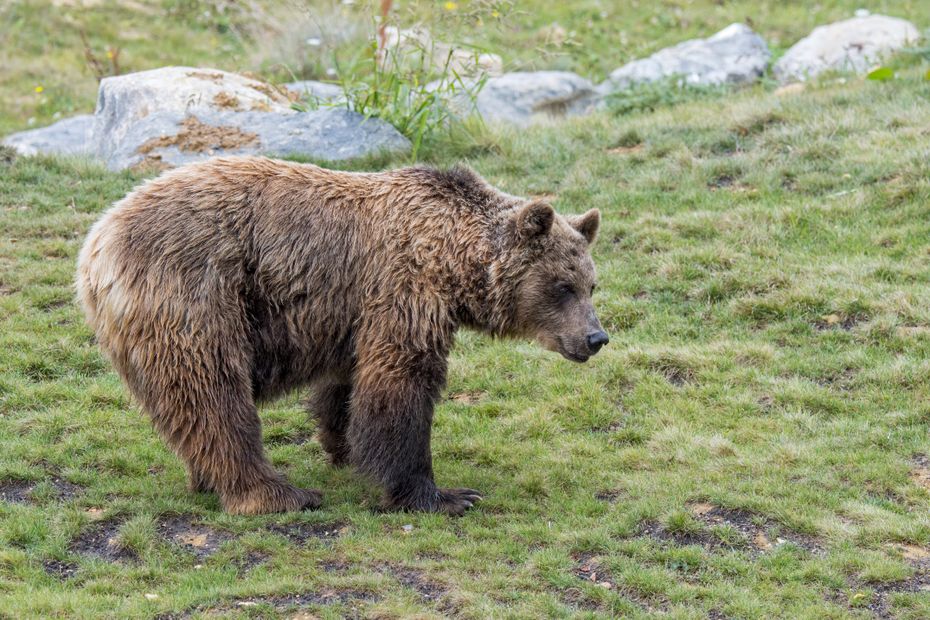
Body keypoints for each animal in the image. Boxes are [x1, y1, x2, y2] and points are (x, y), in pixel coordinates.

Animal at [76, 157, 604, 516]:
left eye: (591, 284)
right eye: (562, 286)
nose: (596, 337)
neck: (452, 261)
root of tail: (97, 245)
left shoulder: (354, 313)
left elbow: (346, 385)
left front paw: (344, 446)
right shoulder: (402, 290)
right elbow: (401, 386)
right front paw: (444, 494)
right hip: (197, 296)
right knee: (215, 396)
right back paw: (277, 493)